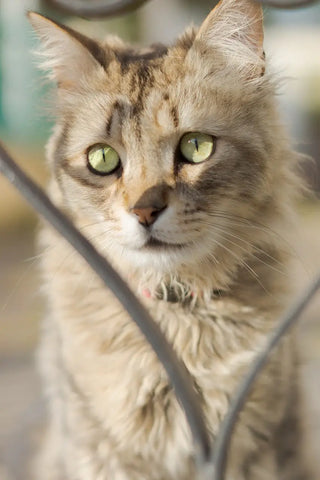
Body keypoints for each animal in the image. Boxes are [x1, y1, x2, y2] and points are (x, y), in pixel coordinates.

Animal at [28, 0, 308, 480]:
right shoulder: (98, 448)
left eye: (196, 147)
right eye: (103, 159)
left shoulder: (266, 445)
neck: (179, 318)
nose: (144, 212)